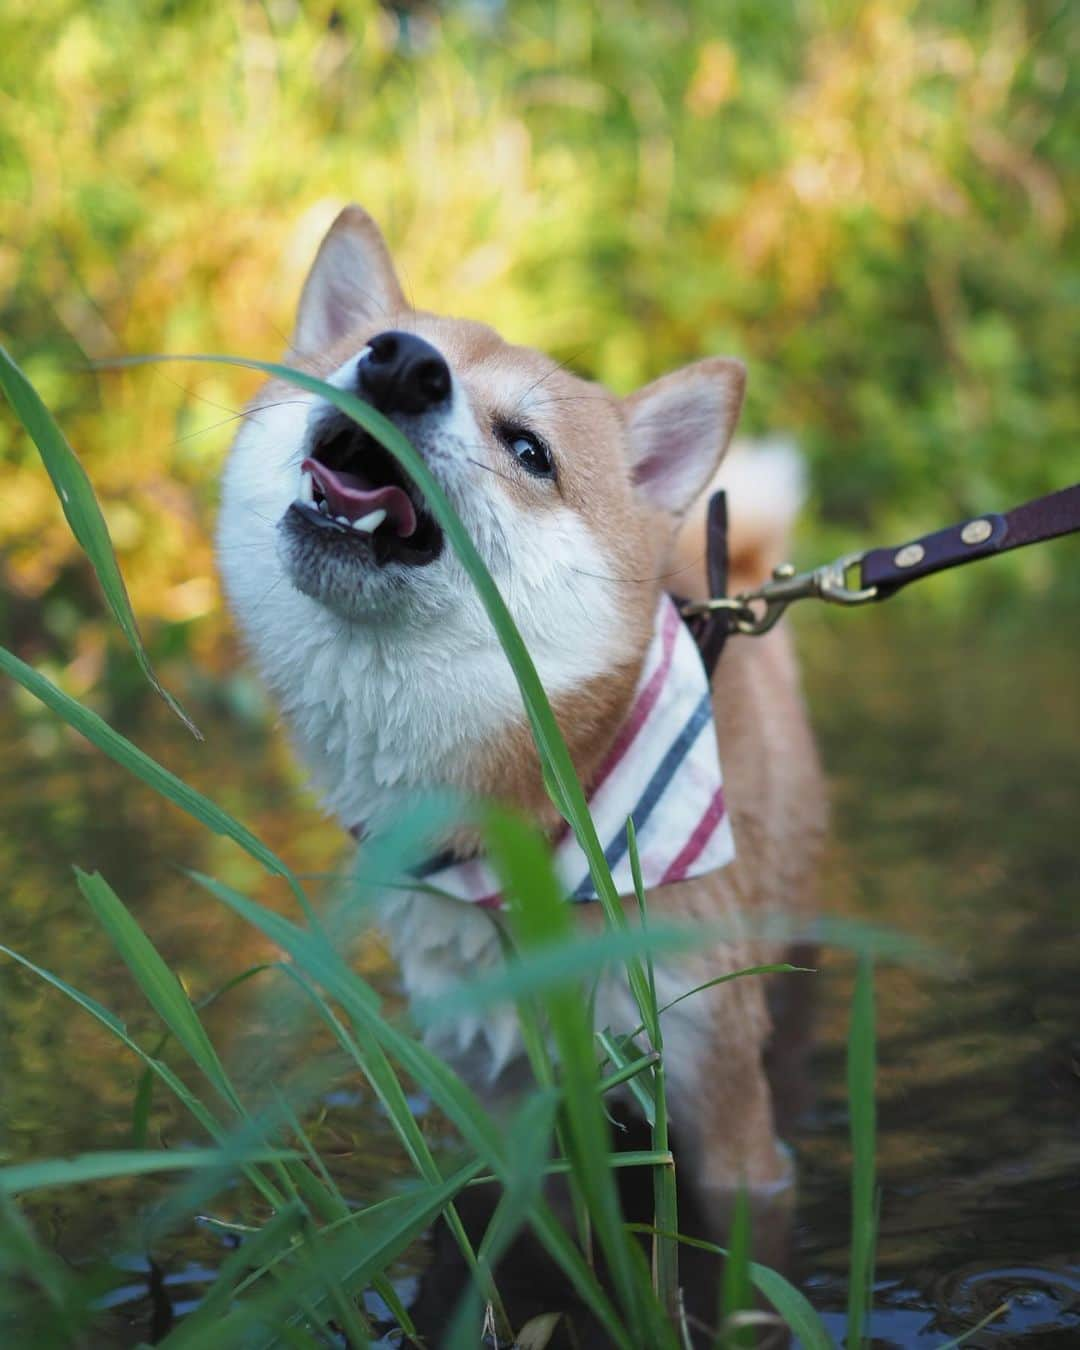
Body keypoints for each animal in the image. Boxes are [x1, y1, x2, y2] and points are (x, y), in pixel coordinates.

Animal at [218, 207, 826, 1242]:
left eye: (531, 449)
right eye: (368, 352)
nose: (400, 365)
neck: (529, 829)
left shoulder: (720, 1093)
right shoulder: (497, 1095)